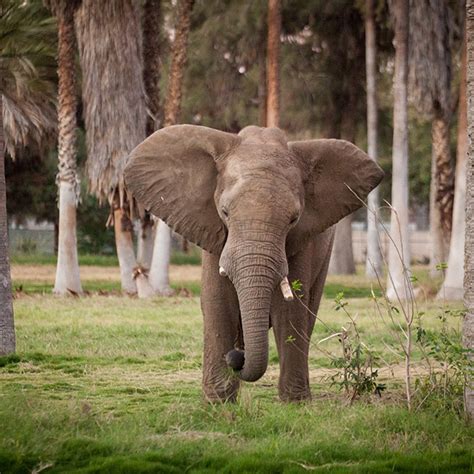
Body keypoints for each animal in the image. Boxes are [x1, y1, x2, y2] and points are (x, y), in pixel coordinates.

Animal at [124, 124, 384, 402]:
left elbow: (290, 309)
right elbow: (218, 303)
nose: (236, 359)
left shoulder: (302, 240)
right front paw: (218, 402)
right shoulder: (213, 231)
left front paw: (295, 403)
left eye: (294, 219)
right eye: (225, 212)